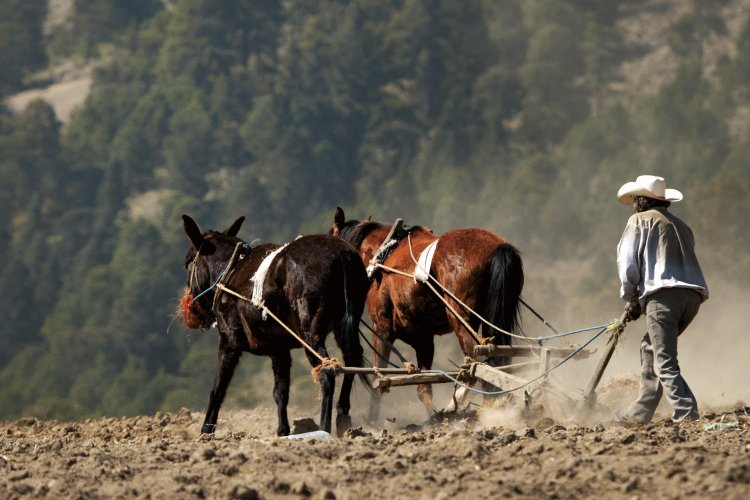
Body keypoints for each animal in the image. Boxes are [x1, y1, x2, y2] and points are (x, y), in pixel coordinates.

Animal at [180, 215, 374, 438]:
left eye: (188, 262)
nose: (190, 305)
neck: (230, 271)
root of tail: (343, 255)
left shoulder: (229, 342)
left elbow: (218, 388)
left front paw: (206, 430)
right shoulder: (279, 350)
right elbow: (280, 392)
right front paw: (283, 430)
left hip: (310, 335)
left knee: (327, 373)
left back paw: (324, 427)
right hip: (344, 327)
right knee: (351, 361)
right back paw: (342, 417)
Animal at [332, 207, 524, 422]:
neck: (383, 256)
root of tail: (498, 248)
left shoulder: (381, 328)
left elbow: (378, 380)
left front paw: (373, 420)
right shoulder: (423, 339)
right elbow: (423, 385)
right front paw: (433, 417)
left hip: (460, 318)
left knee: (478, 362)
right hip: (491, 321)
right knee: (496, 361)